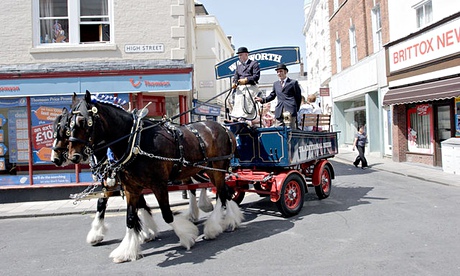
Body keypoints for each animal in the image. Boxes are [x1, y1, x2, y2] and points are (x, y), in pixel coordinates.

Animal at [68, 91, 243, 264]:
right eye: (68, 124)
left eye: (83, 121)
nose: (73, 156)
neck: (136, 142)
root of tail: (224, 128)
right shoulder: (131, 188)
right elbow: (130, 218)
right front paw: (126, 250)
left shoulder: (158, 185)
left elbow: (166, 214)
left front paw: (187, 237)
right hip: (208, 169)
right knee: (224, 192)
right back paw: (230, 220)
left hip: (217, 168)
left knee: (221, 194)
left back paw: (215, 226)